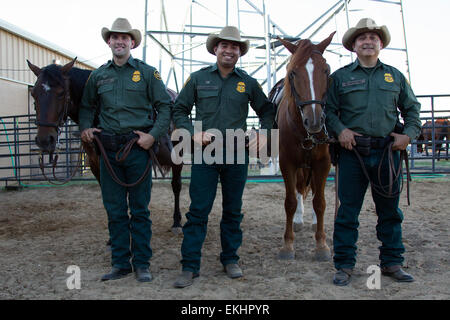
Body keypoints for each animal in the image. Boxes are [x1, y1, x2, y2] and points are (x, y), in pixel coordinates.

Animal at [25, 57, 183, 232]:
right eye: (34, 93)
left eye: (61, 93)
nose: (44, 140)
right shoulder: (97, 165)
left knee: (176, 185)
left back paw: (177, 222)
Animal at [274, 32, 334, 262]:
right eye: (292, 73)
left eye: (326, 70)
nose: (315, 121)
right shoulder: (287, 163)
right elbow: (290, 201)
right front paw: (287, 245)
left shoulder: (323, 163)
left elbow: (320, 202)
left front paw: (322, 245)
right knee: (299, 189)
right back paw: (299, 221)